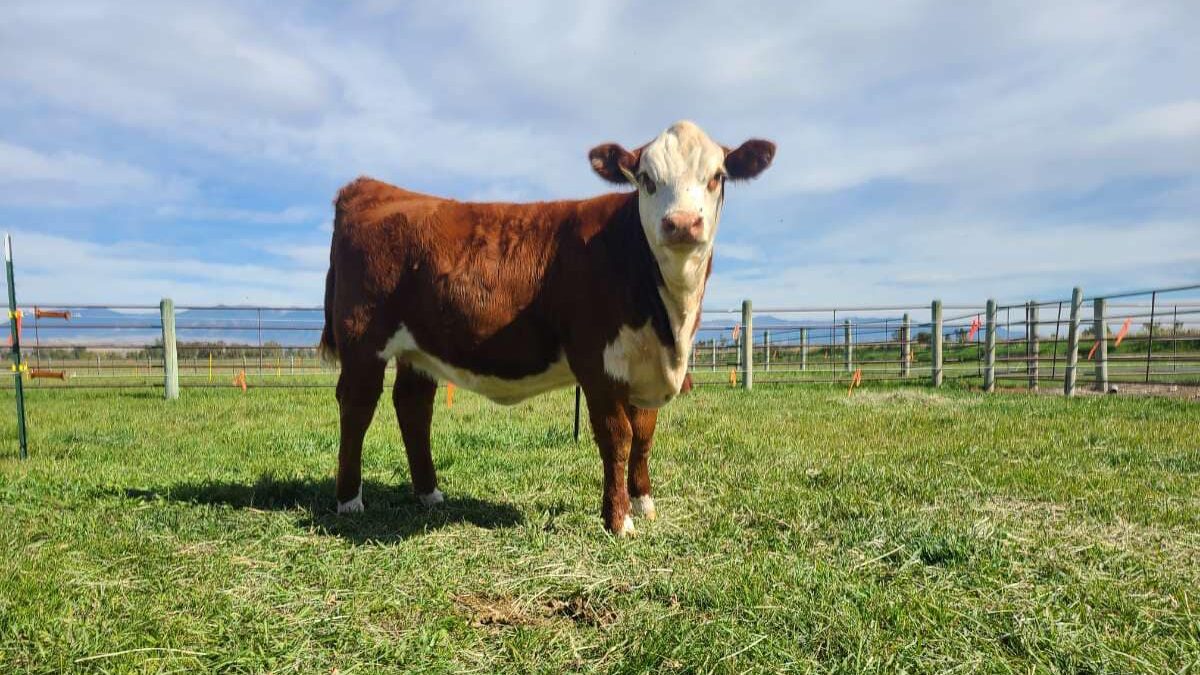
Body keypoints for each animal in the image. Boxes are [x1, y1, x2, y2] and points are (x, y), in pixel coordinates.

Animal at [319, 120, 774, 536]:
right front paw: (619, 521)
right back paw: (349, 500)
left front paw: (644, 503)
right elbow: (618, 438)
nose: (680, 223)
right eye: (646, 179)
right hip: (363, 340)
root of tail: (373, 187)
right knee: (357, 405)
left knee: (414, 406)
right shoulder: (596, 363)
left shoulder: (647, 363)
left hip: (419, 348)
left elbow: (644, 436)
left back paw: (429, 494)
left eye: (717, 176)